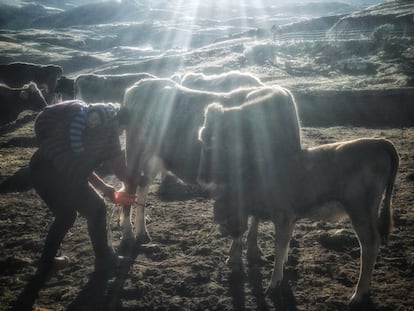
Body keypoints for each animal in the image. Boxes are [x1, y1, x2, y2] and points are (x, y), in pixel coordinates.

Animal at [120, 79, 300, 262]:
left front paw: (254, 250)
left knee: (143, 188)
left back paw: (142, 233)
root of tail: (138, 86)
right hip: (135, 154)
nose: (205, 177)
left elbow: (254, 219)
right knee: (130, 188)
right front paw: (235, 256)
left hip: (154, 159)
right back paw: (128, 235)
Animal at [199, 98, 400, 304]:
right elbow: (285, 243)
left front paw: (274, 283)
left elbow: (279, 245)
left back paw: (358, 294)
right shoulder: (290, 218)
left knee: (369, 244)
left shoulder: (283, 215)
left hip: (360, 210)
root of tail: (377, 142)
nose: (222, 229)